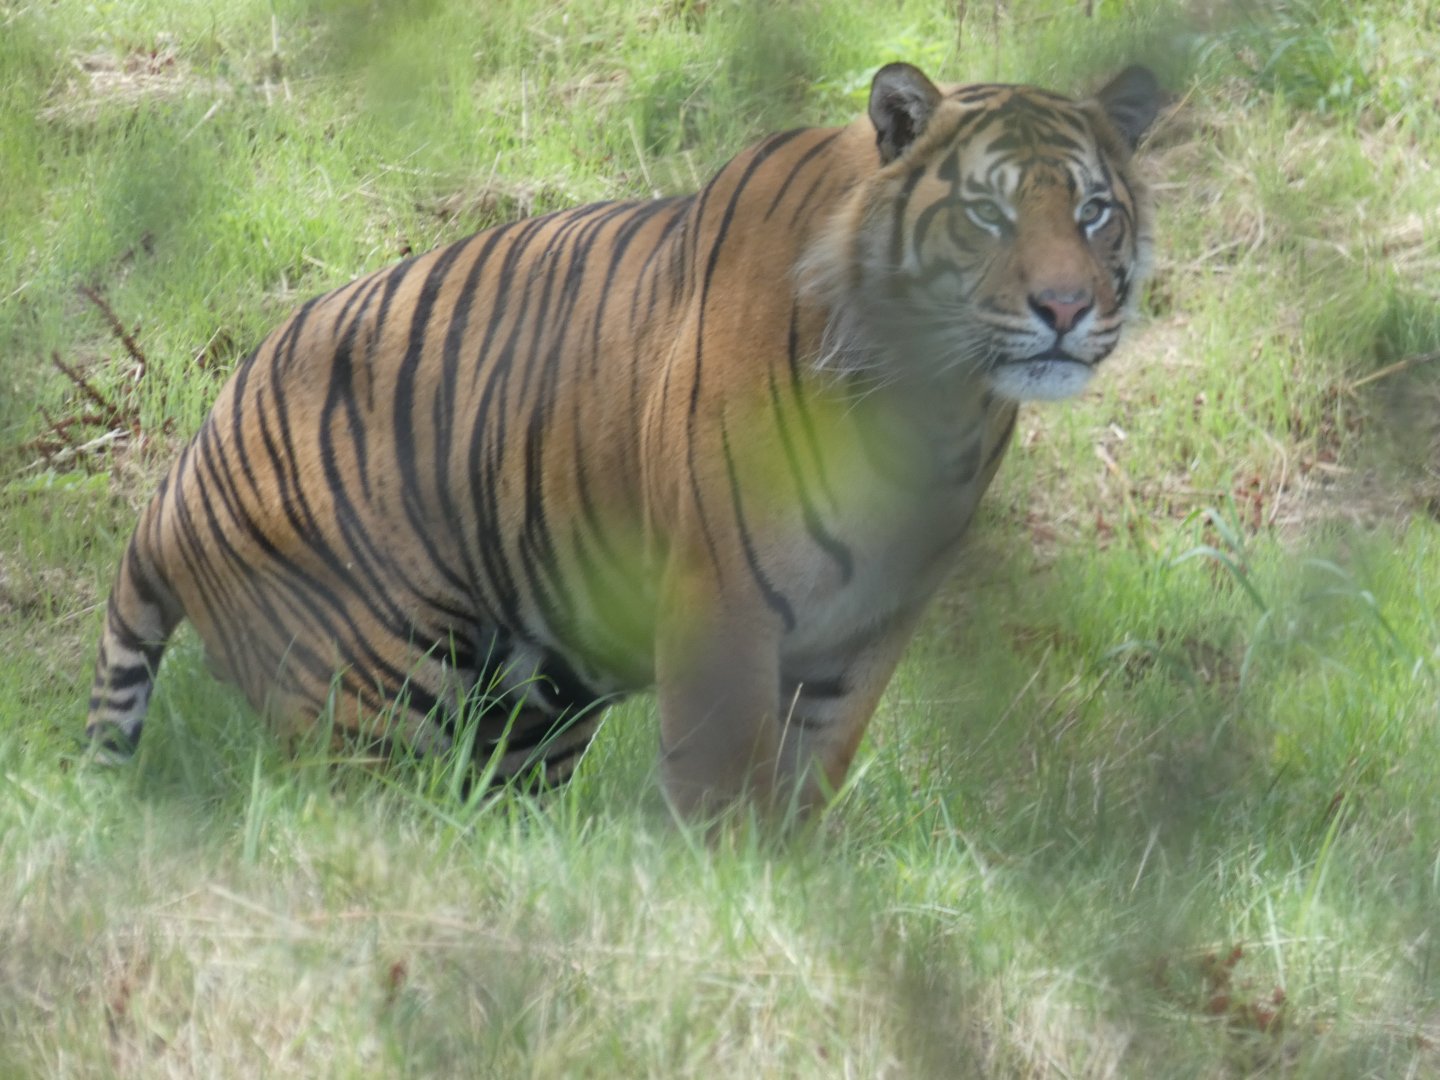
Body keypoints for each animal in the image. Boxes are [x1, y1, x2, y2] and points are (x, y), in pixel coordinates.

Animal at [85, 61, 1161, 817]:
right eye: (986, 214)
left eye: (1094, 211)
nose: (1066, 308)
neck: (933, 409)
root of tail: (173, 486)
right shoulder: (722, 600)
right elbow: (723, 790)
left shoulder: (867, 631)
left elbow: (806, 786)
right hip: (376, 695)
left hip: (529, 713)